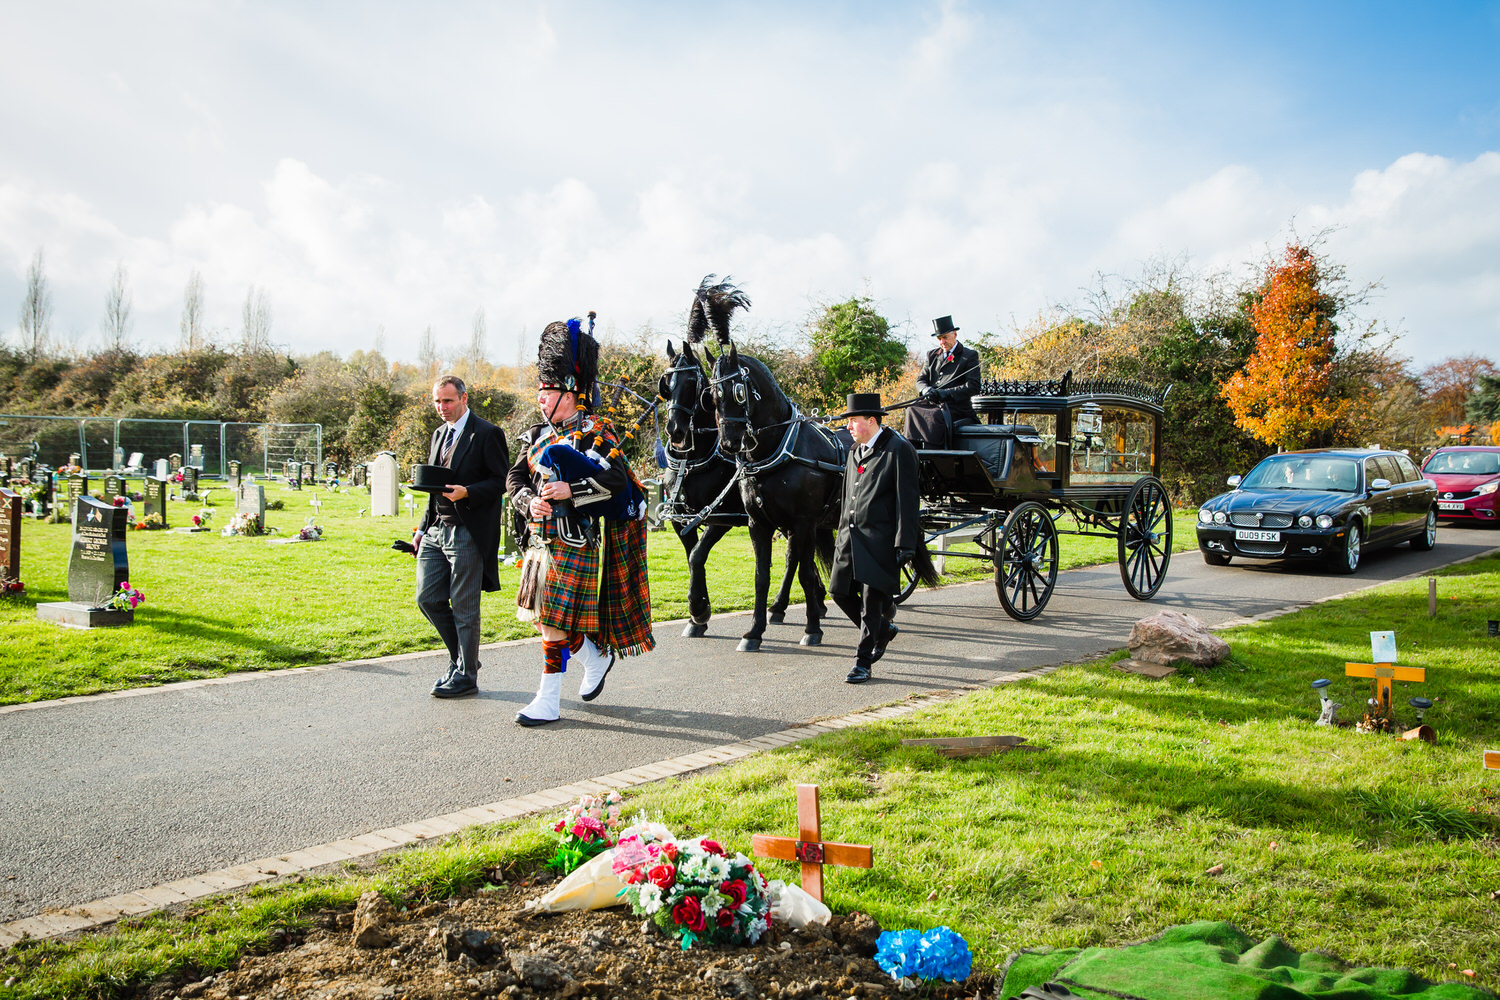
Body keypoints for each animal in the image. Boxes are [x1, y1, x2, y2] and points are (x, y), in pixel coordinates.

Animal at [657, 340, 804, 638]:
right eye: (667, 383)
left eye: (692, 382)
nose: (675, 430)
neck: (693, 462)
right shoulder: (681, 521)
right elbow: (692, 557)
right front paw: (697, 615)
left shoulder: (720, 517)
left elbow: (697, 556)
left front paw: (699, 610)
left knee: (793, 557)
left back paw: (780, 606)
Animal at [705, 347, 846, 653]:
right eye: (711, 395)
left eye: (739, 392)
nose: (729, 443)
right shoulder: (759, 524)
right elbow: (762, 576)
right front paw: (754, 632)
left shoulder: (804, 522)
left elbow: (806, 574)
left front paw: (812, 629)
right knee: (793, 560)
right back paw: (780, 607)